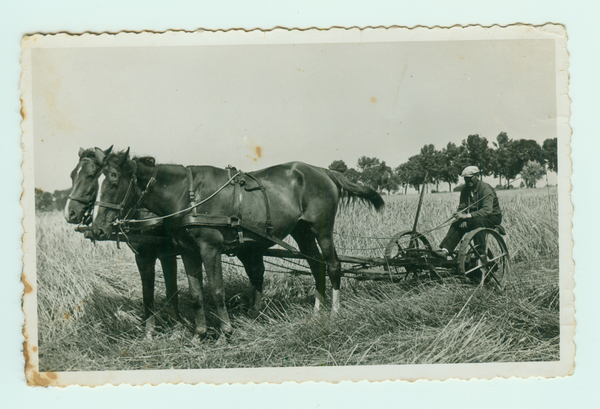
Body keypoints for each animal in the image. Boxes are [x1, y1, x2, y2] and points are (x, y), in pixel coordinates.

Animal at [65, 148, 182, 336]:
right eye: (72, 176)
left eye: (90, 175)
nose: (70, 213)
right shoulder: (142, 257)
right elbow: (147, 293)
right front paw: (149, 332)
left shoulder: (167, 255)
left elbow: (172, 290)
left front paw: (177, 327)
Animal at [94, 148, 384, 336]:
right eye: (96, 180)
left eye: (114, 180)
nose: (97, 228)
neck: (188, 195)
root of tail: (323, 171)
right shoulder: (188, 251)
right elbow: (196, 293)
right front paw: (199, 334)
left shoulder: (210, 249)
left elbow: (216, 290)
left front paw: (225, 330)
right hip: (302, 232)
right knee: (317, 266)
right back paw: (316, 312)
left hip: (322, 229)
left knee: (333, 265)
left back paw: (334, 312)